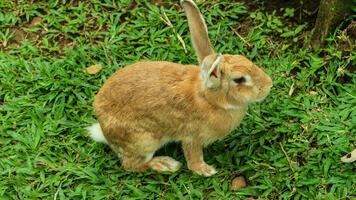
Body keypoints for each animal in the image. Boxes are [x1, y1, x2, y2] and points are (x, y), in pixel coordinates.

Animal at [89, 0, 272, 176]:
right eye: (239, 79)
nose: (268, 85)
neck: (210, 100)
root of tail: (105, 132)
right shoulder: (192, 137)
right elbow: (193, 157)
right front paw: (205, 170)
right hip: (144, 141)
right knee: (131, 165)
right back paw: (167, 165)